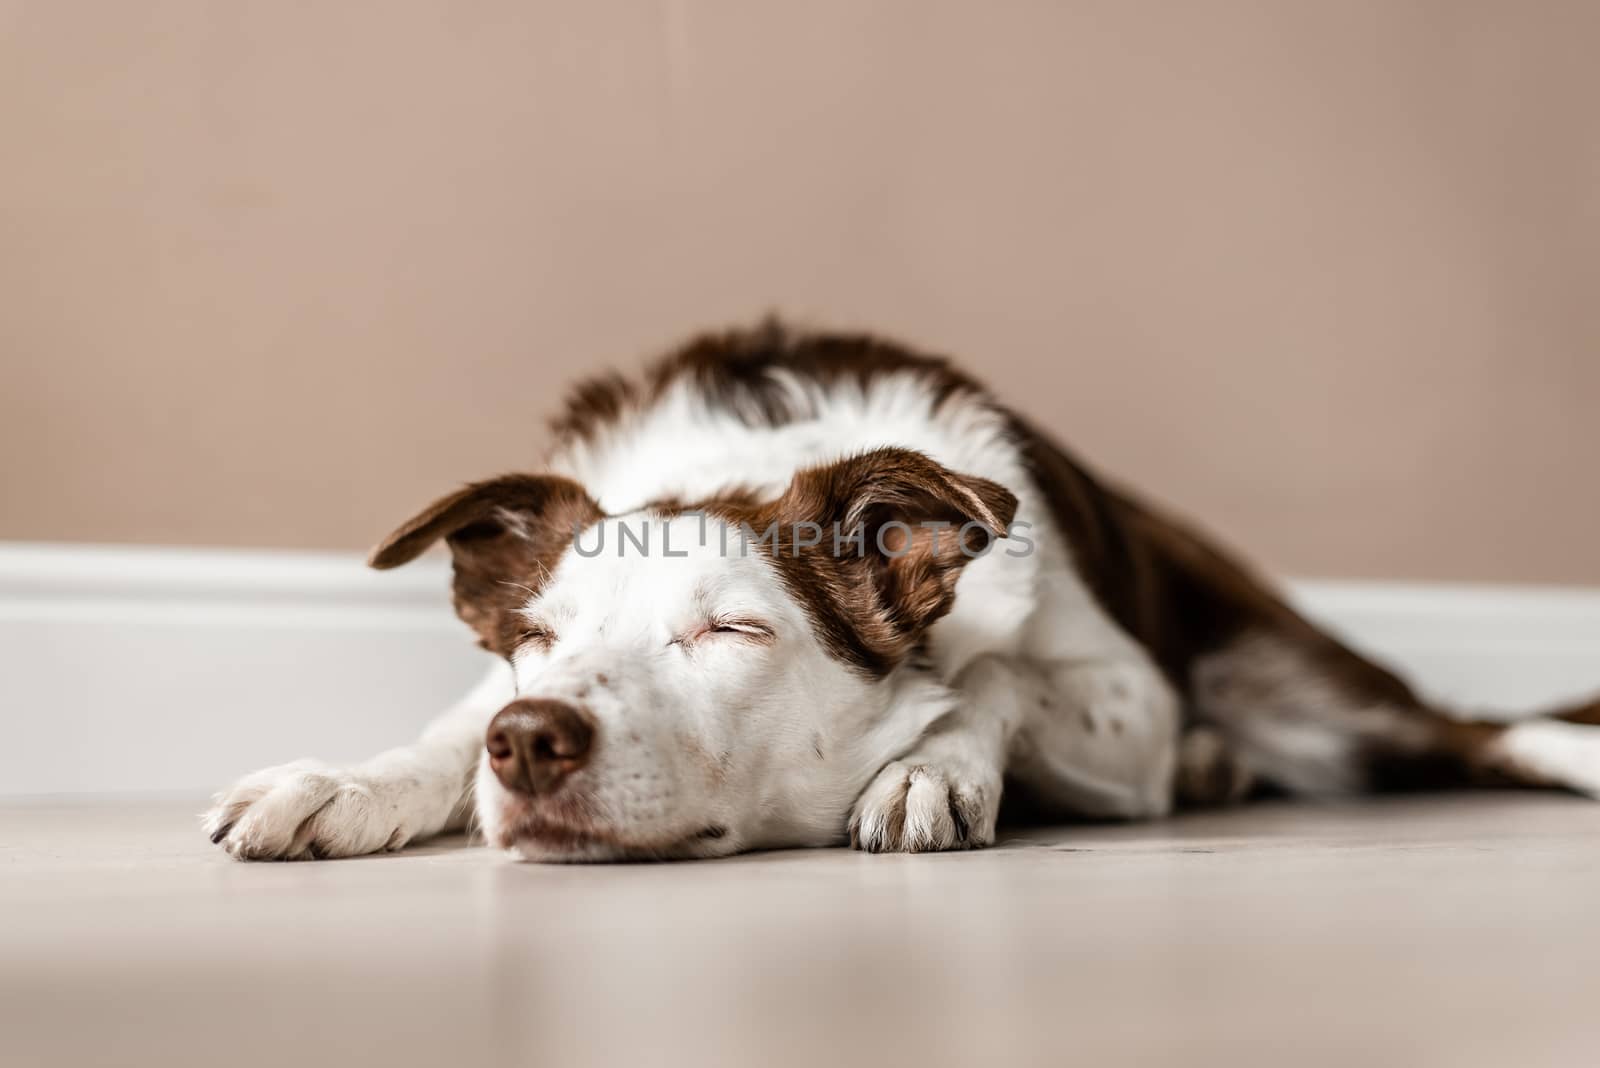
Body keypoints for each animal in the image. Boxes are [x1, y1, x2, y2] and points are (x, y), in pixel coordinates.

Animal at [206, 321, 1600, 863]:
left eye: (731, 629)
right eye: (532, 644)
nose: (531, 740)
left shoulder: (1128, 700)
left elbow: (993, 670)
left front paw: (931, 766)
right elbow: (439, 734)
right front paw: (341, 783)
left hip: (1302, 685)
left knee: (1478, 730)